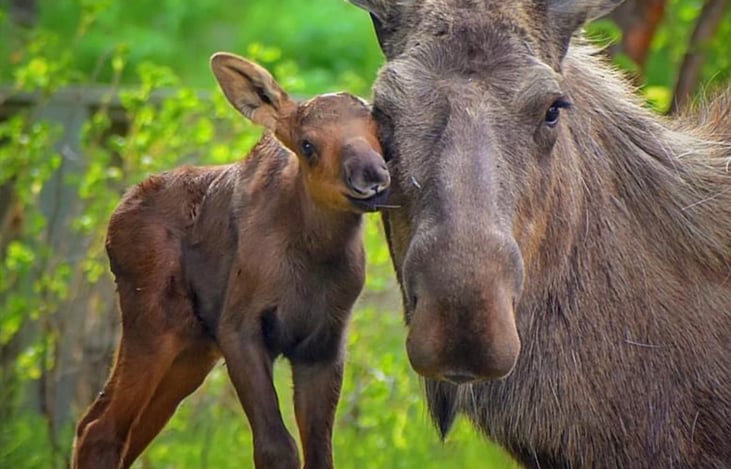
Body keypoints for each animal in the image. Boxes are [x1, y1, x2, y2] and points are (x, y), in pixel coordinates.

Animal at [72, 52, 390, 469]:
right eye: (307, 145)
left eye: (378, 128)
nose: (370, 178)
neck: (314, 256)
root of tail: (114, 220)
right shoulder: (239, 328)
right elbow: (275, 447)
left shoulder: (323, 345)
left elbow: (320, 453)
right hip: (154, 324)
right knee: (101, 429)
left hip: (192, 349)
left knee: (107, 423)